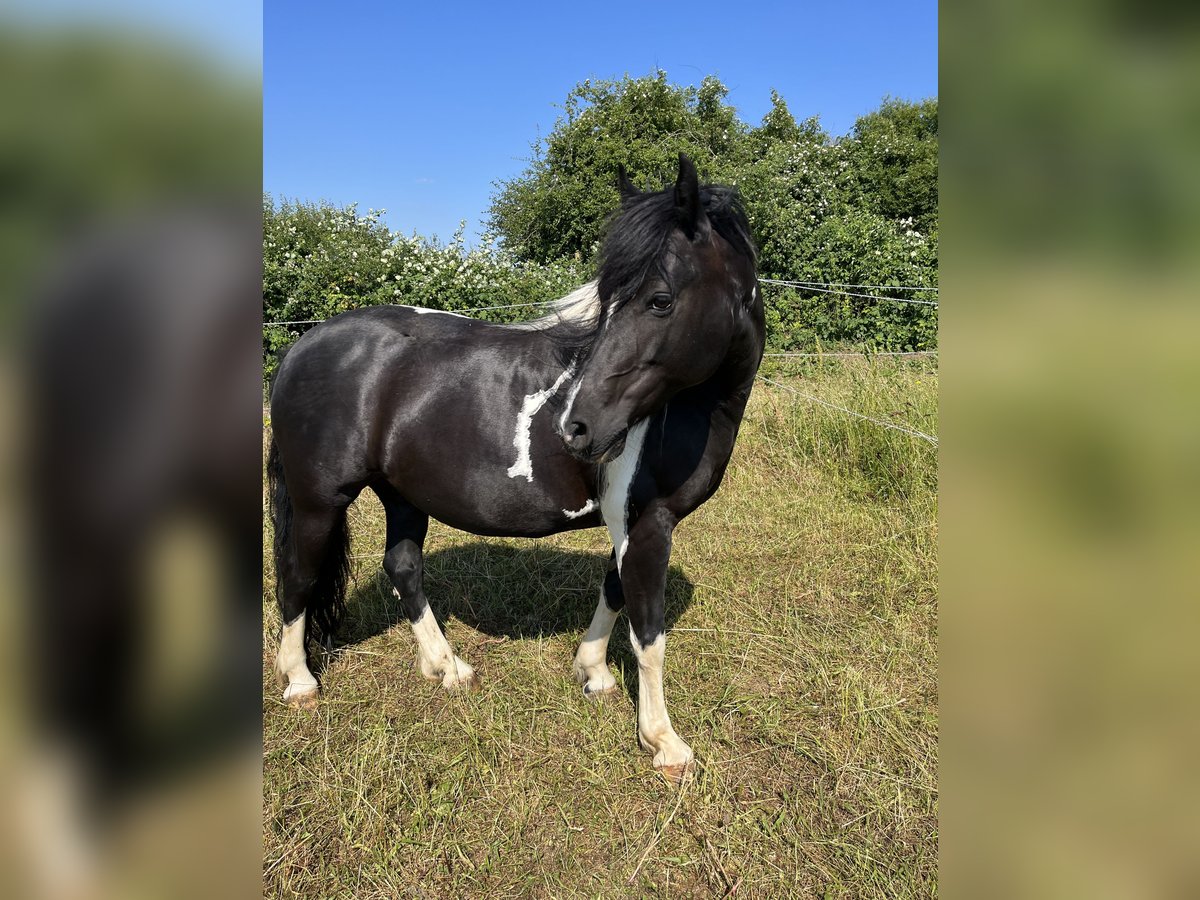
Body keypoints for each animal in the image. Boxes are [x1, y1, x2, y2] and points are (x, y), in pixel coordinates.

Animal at [268, 154, 763, 782]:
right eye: (614, 300)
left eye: (659, 300)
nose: (577, 427)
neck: (682, 410)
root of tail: (301, 346)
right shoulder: (649, 524)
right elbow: (648, 631)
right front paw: (665, 743)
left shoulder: (629, 523)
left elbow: (613, 590)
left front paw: (593, 672)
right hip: (318, 501)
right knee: (297, 574)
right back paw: (300, 681)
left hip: (402, 494)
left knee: (402, 567)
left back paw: (446, 666)